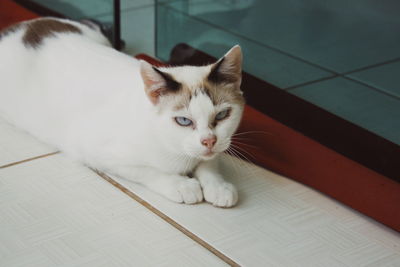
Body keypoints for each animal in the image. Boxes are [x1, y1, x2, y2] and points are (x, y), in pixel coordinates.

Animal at [0, 17, 244, 208]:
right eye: (183, 120)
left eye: (222, 115)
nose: (209, 141)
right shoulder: (97, 152)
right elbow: (147, 170)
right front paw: (180, 184)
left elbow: (210, 162)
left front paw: (218, 185)